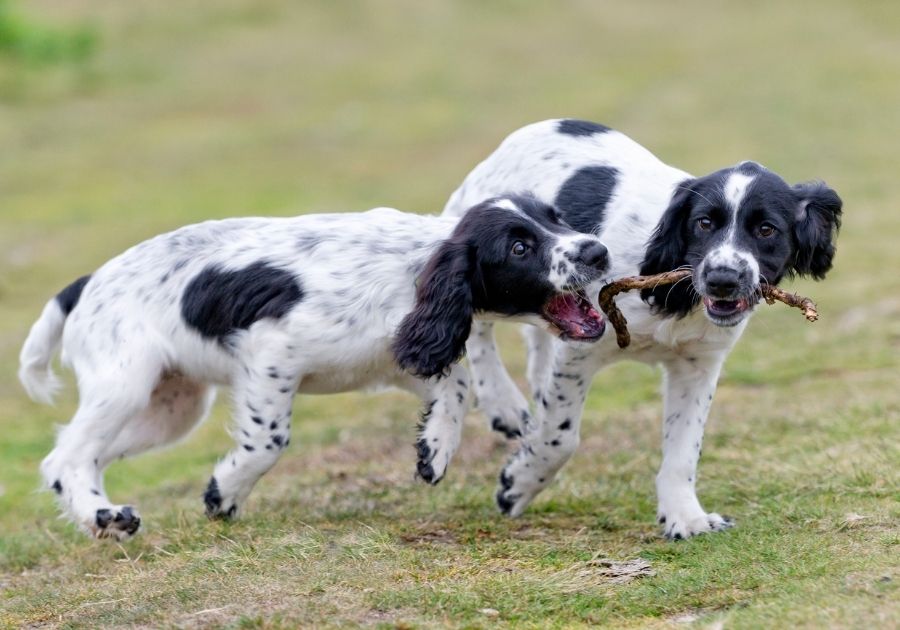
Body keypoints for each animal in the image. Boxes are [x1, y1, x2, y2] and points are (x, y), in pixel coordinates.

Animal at [21, 195, 608, 540]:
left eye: (556, 219)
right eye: (519, 247)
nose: (598, 251)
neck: (408, 265)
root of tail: (86, 283)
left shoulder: (393, 355)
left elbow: (456, 384)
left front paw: (434, 450)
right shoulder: (271, 354)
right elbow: (267, 441)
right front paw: (223, 493)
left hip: (171, 409)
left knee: (76, 458)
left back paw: (104, 517)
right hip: (125, 383)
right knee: (65, 455)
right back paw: (103, 516)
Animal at [442, 119, 844, 544]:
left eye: (766, 229)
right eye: (703, 223)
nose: (722, 279)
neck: (676, 294)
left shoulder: (698, 366)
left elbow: (684, 448)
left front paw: (685, 516)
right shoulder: (581, 350)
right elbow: (561, 436)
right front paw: (517, 485)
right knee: (477, 323)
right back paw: (502, 402)